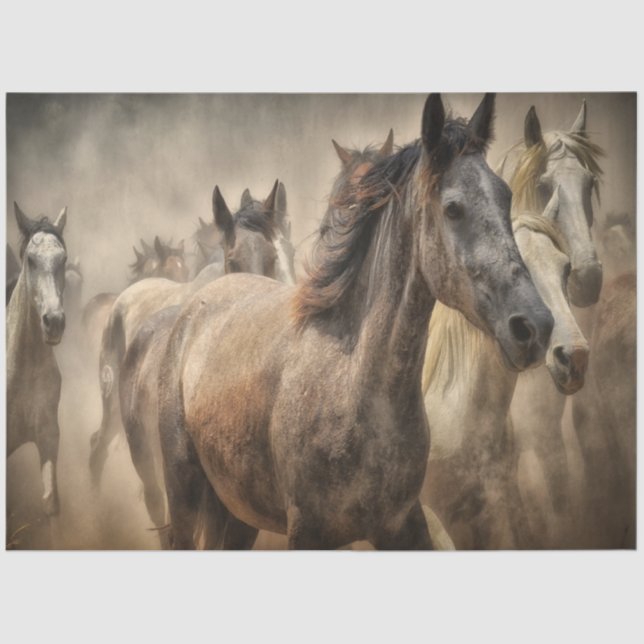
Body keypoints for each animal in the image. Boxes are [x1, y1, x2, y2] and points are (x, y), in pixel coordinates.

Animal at [157, 93, 554, 550]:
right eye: (453, 208)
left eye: (506, 197)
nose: (534, 327)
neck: (353, 382)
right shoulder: (308, 533)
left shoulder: (403, 525)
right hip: (184, 497)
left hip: (239, 513)